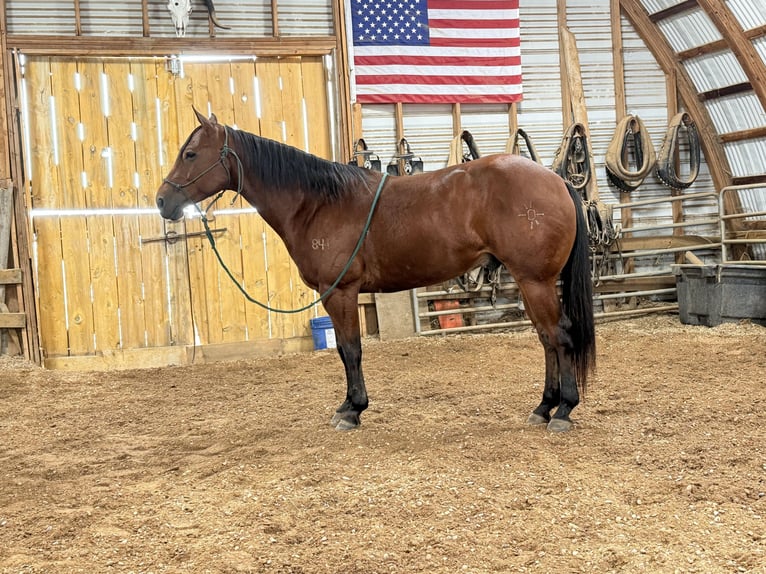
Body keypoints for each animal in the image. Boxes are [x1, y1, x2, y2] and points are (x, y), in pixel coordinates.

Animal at [156, 109, 596, 432]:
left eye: (190, 154)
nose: (162, 201)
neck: (318, 203)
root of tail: (556, 181)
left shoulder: (340, 292)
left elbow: (350, 349)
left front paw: (352, 410)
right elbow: (344, 349)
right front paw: (348, 406)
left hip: (535, 281)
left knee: (559, 336)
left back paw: (562, 412)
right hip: (529, 282)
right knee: (546, 339)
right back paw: (543, 407)